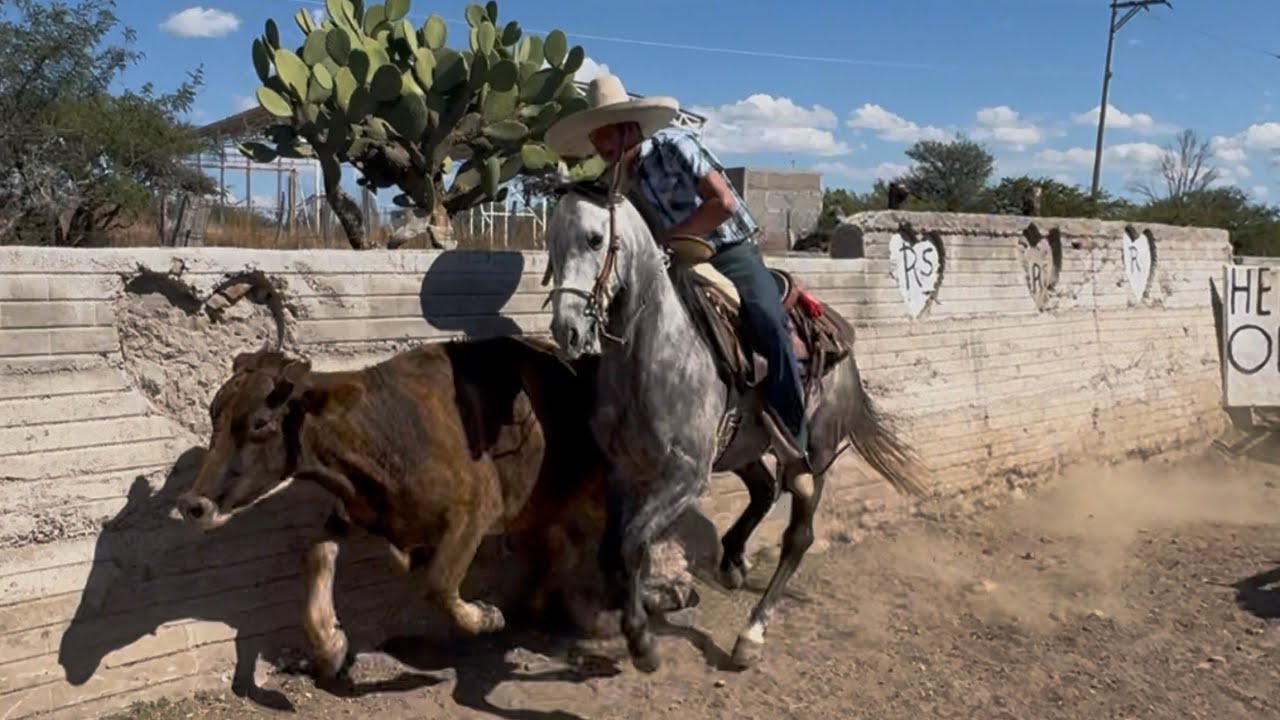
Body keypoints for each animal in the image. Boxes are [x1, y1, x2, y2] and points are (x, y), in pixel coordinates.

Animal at [539, 181, 930, 673]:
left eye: (594, 239)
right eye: (551, 241)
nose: (566, 329)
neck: (653, 352)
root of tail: (843, 341)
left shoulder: (686, 477)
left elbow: (631, 544)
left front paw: (642, 642)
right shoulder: (621, 469)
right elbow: (614, 549)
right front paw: (623, 624)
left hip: (815, 455)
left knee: (797, 535)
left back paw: (751, 634)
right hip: (742, 445)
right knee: (762, 490)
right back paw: (731, 565)